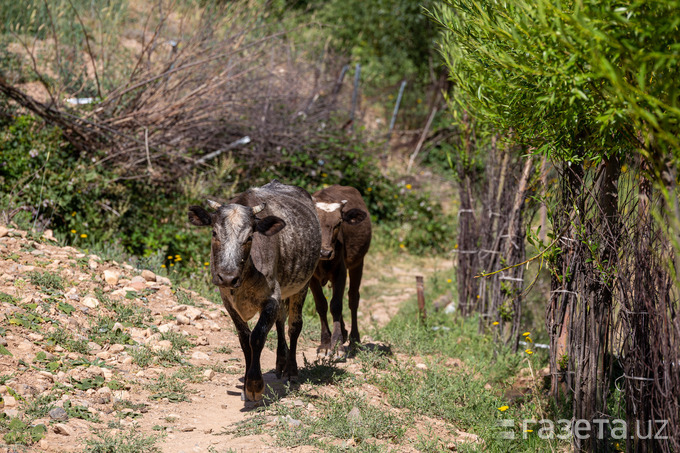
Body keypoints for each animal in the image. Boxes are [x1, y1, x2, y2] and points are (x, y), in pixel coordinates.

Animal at [187, 180, 320, 400]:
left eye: (250, 237)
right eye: (214, 233)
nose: (227, 277)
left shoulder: (272, 297)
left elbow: (257, 337)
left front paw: (255, 385)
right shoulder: (228, 301)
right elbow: (244, 339)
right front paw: (245, 386)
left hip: (302, 285)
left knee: (294, 326)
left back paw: (291, 371)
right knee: (281, 321)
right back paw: (280, 363)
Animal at [310, 184, 370, 354]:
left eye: (338, 223)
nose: (325, 252)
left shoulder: (340, 272)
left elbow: (336, 305)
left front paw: (336, 344)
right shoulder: (311, 278)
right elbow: (321, 305)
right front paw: (325, 343)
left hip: (358, 263)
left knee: (353, 299)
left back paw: (354, 339)